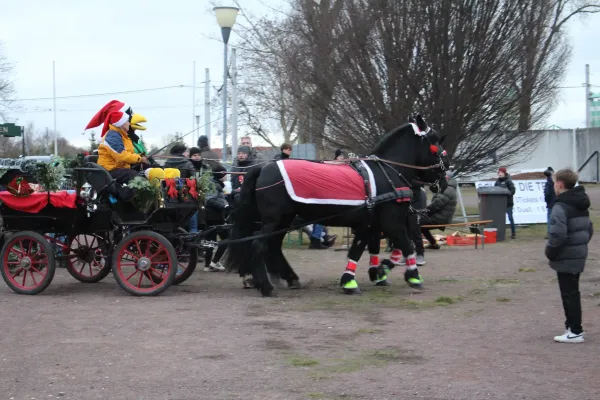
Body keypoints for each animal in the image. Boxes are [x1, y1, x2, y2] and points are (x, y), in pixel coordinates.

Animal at [227, 115, 448, 296]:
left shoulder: (371, 224)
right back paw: (266, 286)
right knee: (259, 245)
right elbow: (404, 244)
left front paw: (375, 273)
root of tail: (263, 167)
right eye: (435, 143)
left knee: (273, 246)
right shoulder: (390, 222)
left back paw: (289, 278)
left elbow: (367, 249)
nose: (445, 176)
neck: (386, 173)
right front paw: (413, 277)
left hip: (284, 220)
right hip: (273, 220)